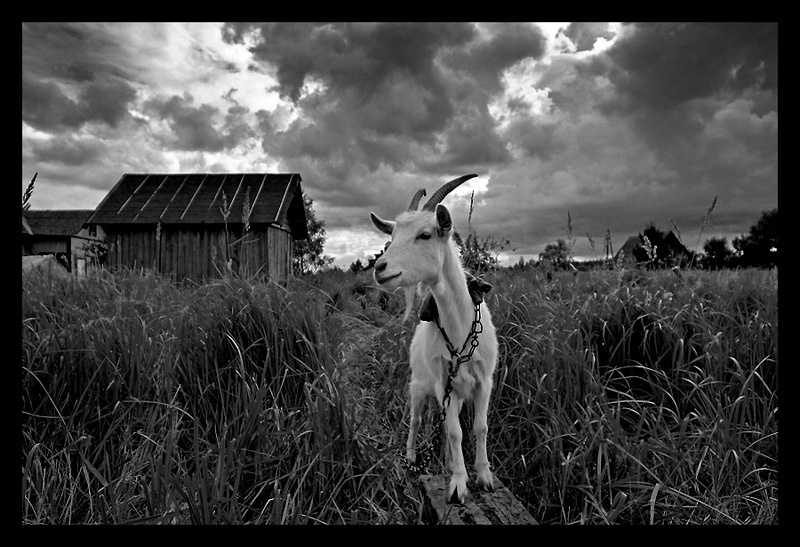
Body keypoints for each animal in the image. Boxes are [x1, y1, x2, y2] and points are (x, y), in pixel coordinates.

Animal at [370, 174, 498, 504]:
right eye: (391, 238)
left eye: (425, 234)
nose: (379, 268)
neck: (459, 328)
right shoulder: (444, 383)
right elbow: (454, 433)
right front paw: (458, 483)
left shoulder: (483, 381)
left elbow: (479, 427)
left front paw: (484, 476)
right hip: (418, 385)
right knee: (416, 419)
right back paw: (412, 455)